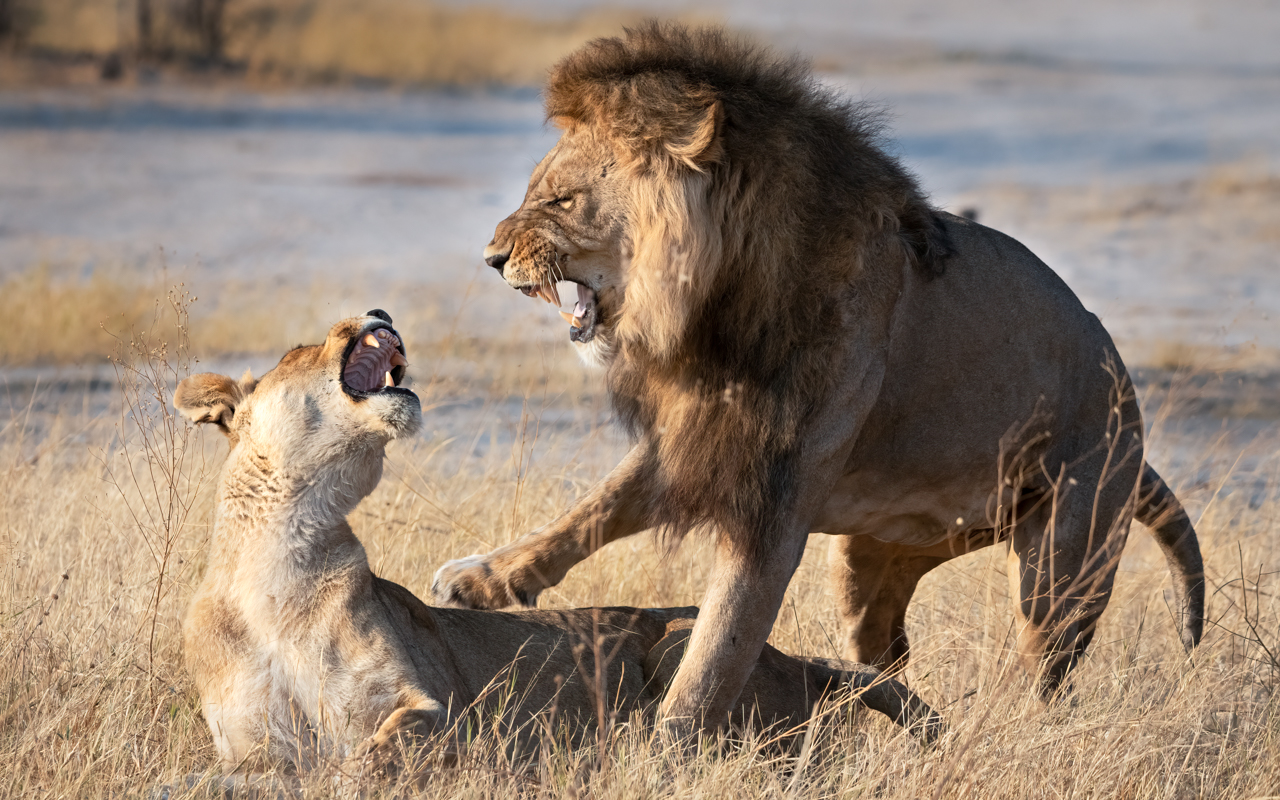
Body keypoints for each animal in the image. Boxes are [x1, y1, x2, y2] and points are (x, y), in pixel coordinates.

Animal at [173, 310, 941, 783]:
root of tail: (803, 665)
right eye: (295, 351)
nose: (378, 313)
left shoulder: (439, 710)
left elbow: (370, 755)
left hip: (682, 646)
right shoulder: (250, 747)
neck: (282, 560)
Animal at [431, 23, 1206, 733]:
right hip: (872, 562)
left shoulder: (776, 493)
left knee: (1043, 672)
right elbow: (595, 508)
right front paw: (484, 578)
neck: (718, 313)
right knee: (886, 651)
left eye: (560, 201)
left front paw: (667, 747)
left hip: (1063, 561)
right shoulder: (706, 433)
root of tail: (1130, 409)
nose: (491, 258)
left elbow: (721, 640)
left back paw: (996, 734)